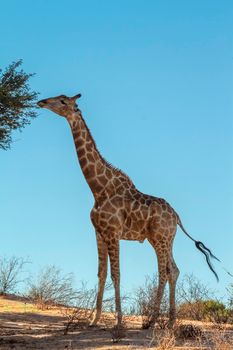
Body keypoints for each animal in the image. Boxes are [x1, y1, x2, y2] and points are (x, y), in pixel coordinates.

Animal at [37, 93, 219, 328]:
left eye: (63, 101)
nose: (41, 102)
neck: (98, 189)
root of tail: (177, 216)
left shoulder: (113, 232)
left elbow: (116, 274)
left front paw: (118, 322)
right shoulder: (99, 232)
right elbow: (102, 273)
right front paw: (94, 320)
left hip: (159, 238)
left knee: (163, 271)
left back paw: (152, 321)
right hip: (164, 239)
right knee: (174, 270)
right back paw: (170, 321)